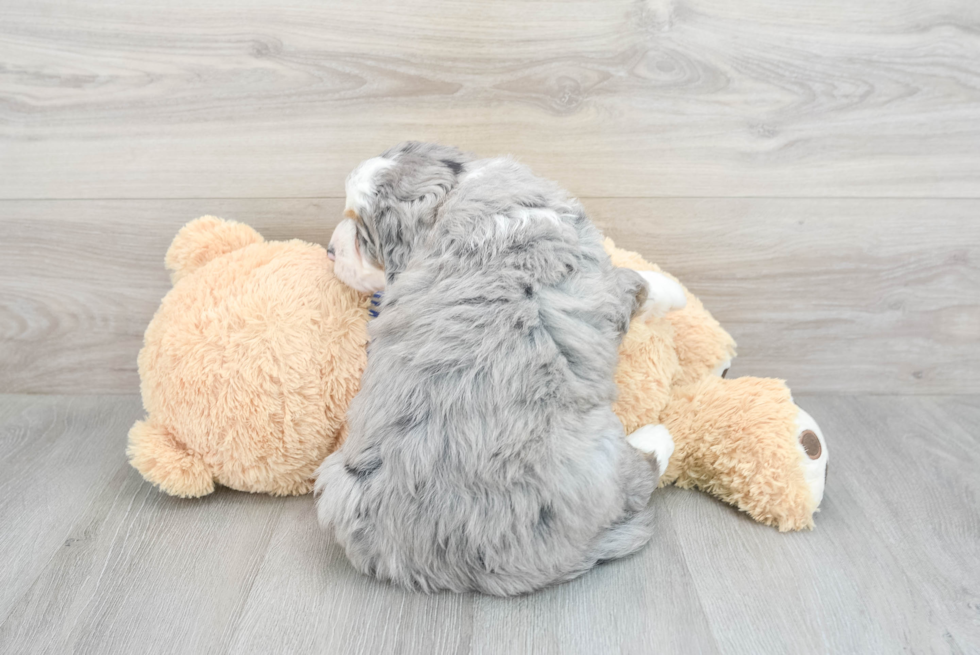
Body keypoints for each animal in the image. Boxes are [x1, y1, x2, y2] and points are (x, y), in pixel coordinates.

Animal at [318, 145, 684, 600]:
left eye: (362, 234)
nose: (329, 250)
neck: (456, 194)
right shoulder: (598, 277)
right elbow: (636, 283)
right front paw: (673, 289)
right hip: (598, 456)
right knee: (637, 477)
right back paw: (658, 437)